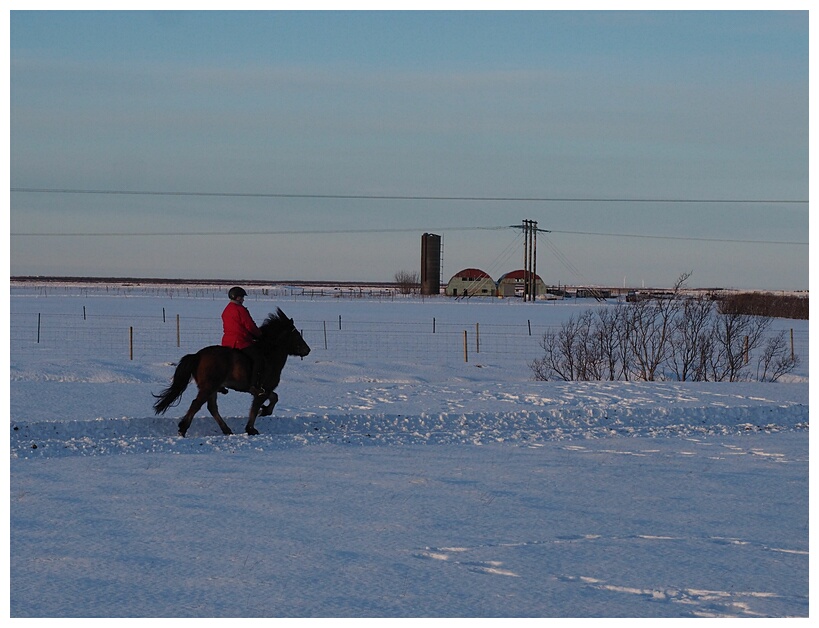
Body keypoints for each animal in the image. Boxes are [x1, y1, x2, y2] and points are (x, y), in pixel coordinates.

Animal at [152, 308, 310, 436]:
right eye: (296, 334)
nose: (307, 350)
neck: (268, 354)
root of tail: (197, 355)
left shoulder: (264, 390)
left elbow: (274, 398)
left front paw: (264, 411)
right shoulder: (262, 390)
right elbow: (255, 408)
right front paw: (251, 428)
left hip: (212, 388)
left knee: (212, 408)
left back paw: (226, 430)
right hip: (208, 387)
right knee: (196, 404)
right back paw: (183, 429)